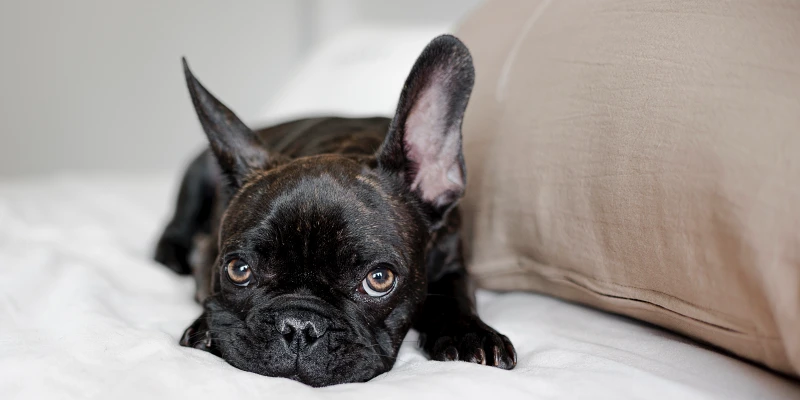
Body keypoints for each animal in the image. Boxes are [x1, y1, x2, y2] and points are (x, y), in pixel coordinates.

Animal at [155, 35, 520, 388]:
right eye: (238, 269)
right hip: (196, 173)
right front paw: (206, 328)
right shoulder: (209, 253)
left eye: (379, 279)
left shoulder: (453, 258)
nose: (299, 326)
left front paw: (470, 334)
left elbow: (455, 294)